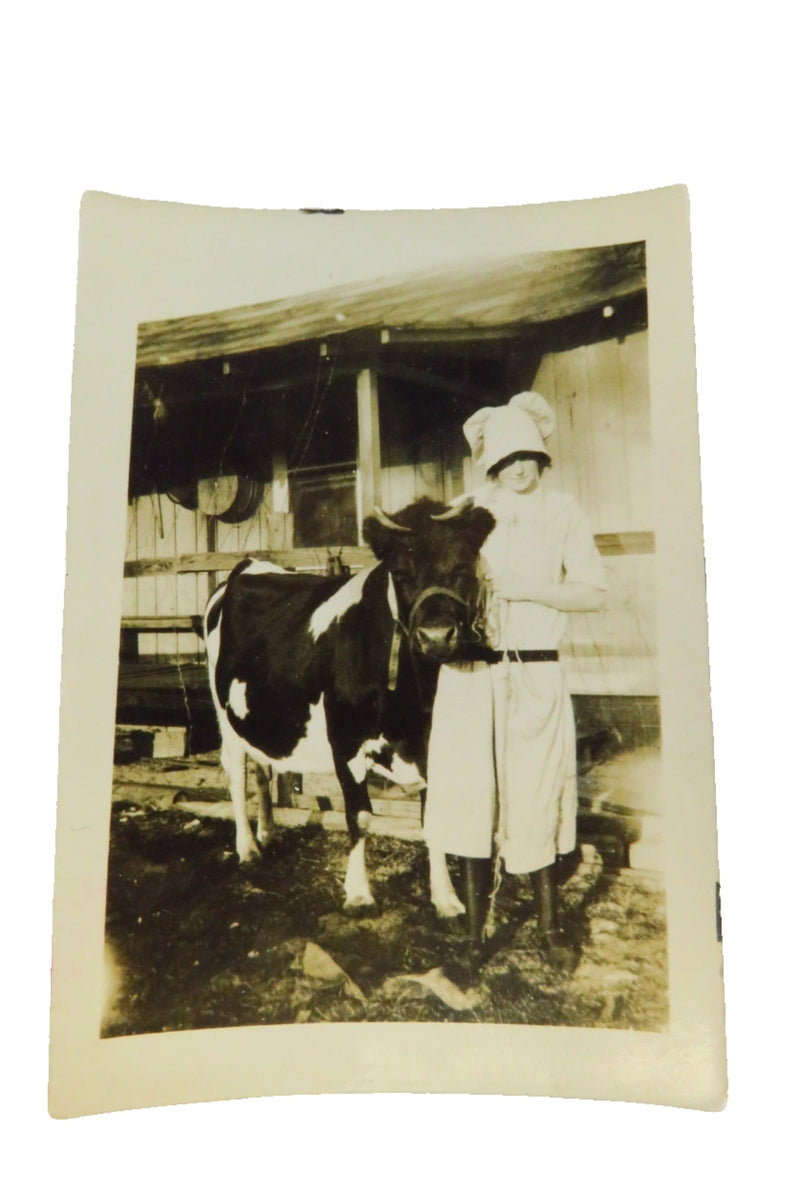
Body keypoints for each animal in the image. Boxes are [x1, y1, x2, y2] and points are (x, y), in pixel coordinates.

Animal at [203, 491, 495, 910]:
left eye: (462, 566)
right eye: (400, 573)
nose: (437, 635)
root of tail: (248, 565)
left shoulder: (432, 744)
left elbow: (433, 819)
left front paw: (445, 898)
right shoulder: (345, 740)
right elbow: (360, 817)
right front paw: (357, 891)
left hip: (255, 714)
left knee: (261, 769)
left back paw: (268, 832)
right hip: (223, 712)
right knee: (236, 771)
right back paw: (247, 847)